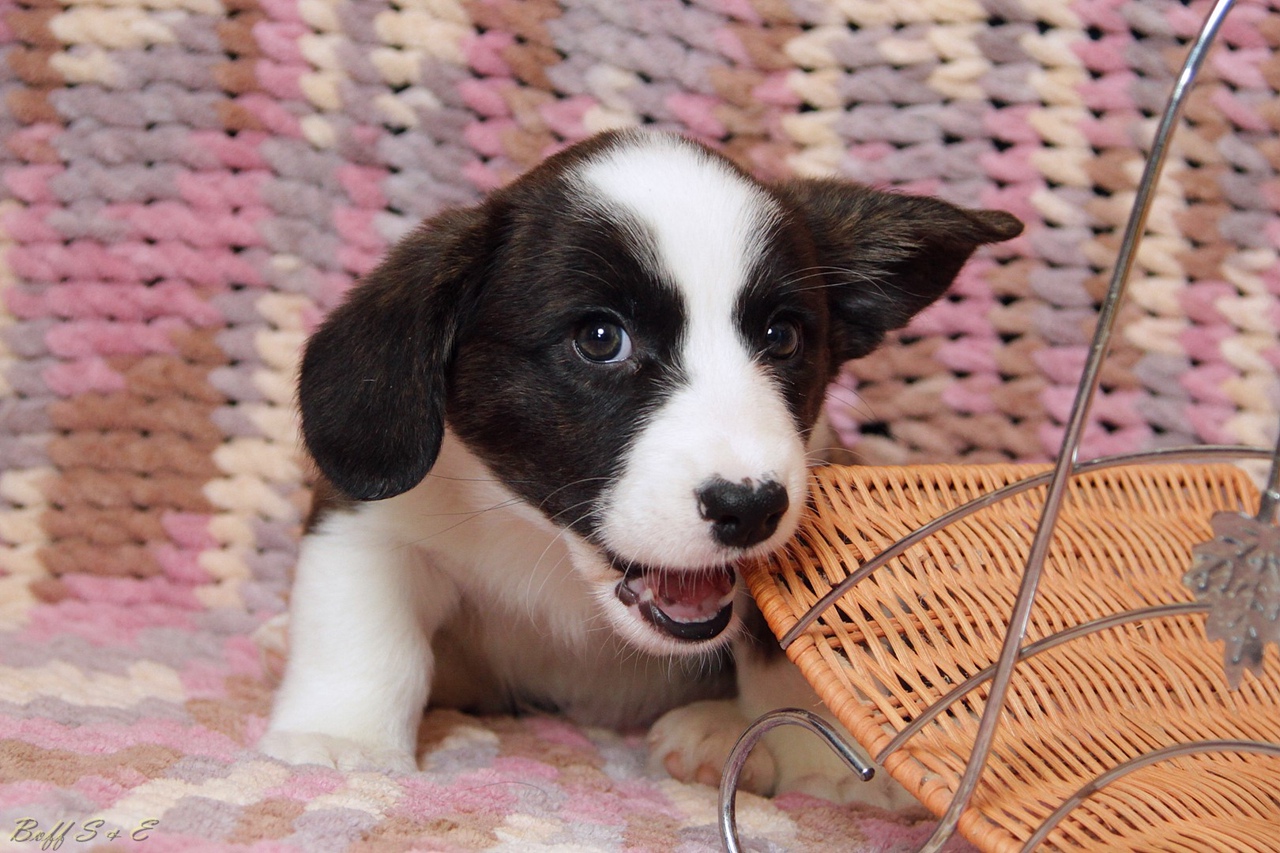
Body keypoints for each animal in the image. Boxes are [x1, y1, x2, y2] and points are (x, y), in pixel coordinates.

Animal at [259, 128, 1018, 804]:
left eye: (782, 337)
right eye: (601, 339)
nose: (751, 508)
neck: (562, 564)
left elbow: (796, 646)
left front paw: (822, 754)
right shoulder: (369, 520)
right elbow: (367, 634)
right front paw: (342, 740)